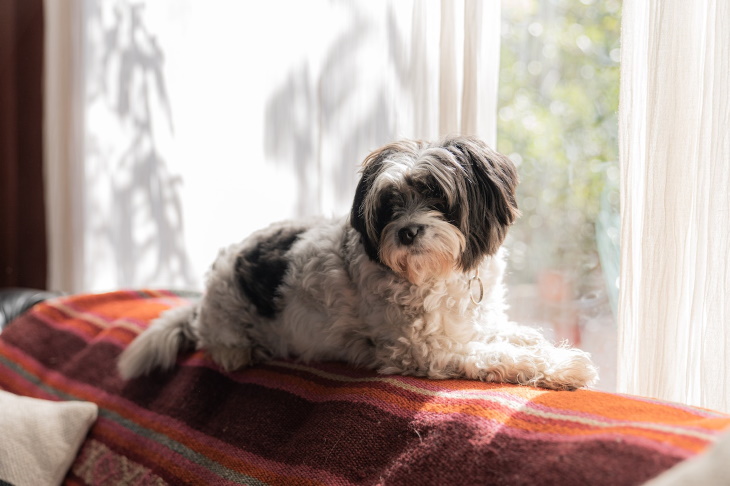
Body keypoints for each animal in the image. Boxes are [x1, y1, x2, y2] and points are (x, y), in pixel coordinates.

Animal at [118, 135, 596, 390]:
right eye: (389, 204)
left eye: (437, 195)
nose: (407, 231)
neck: (437, 275)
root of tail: (203, 299)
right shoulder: (423, 350)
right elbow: (495, 354)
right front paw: (561, 366)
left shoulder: (470, 323)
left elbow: (506, 334)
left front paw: (535, 341)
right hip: (227, 319)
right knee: (219, 342)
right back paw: (238, 352)